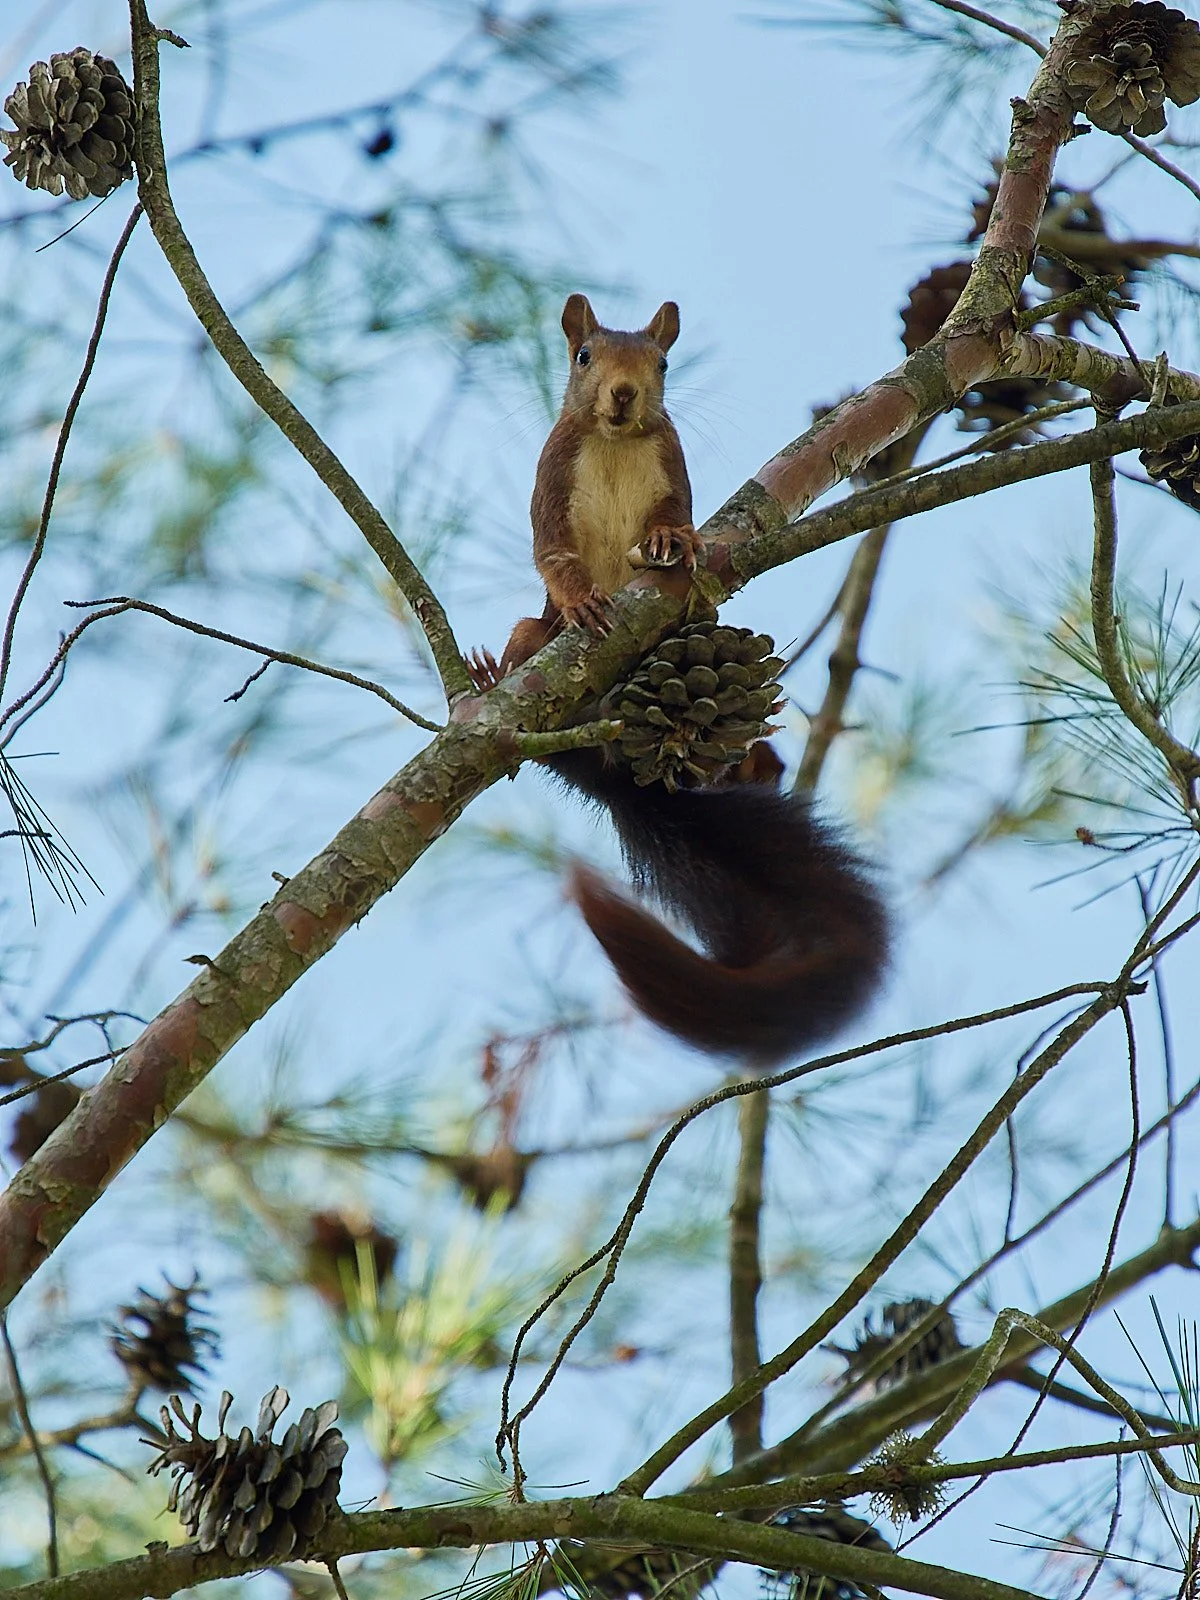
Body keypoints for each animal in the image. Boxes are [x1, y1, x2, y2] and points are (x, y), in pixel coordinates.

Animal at [467, 294, 889, 1064]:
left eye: (662, 363)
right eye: (584, 357)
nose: (624, 395)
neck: (614, 444)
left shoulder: (673, 464)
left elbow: (677, 516)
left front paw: (674, 541)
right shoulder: (553, 475)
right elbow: (552, 552)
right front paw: (581, 598)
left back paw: (749, 762)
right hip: (540, 650)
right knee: (529, 647)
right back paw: (494, 678)